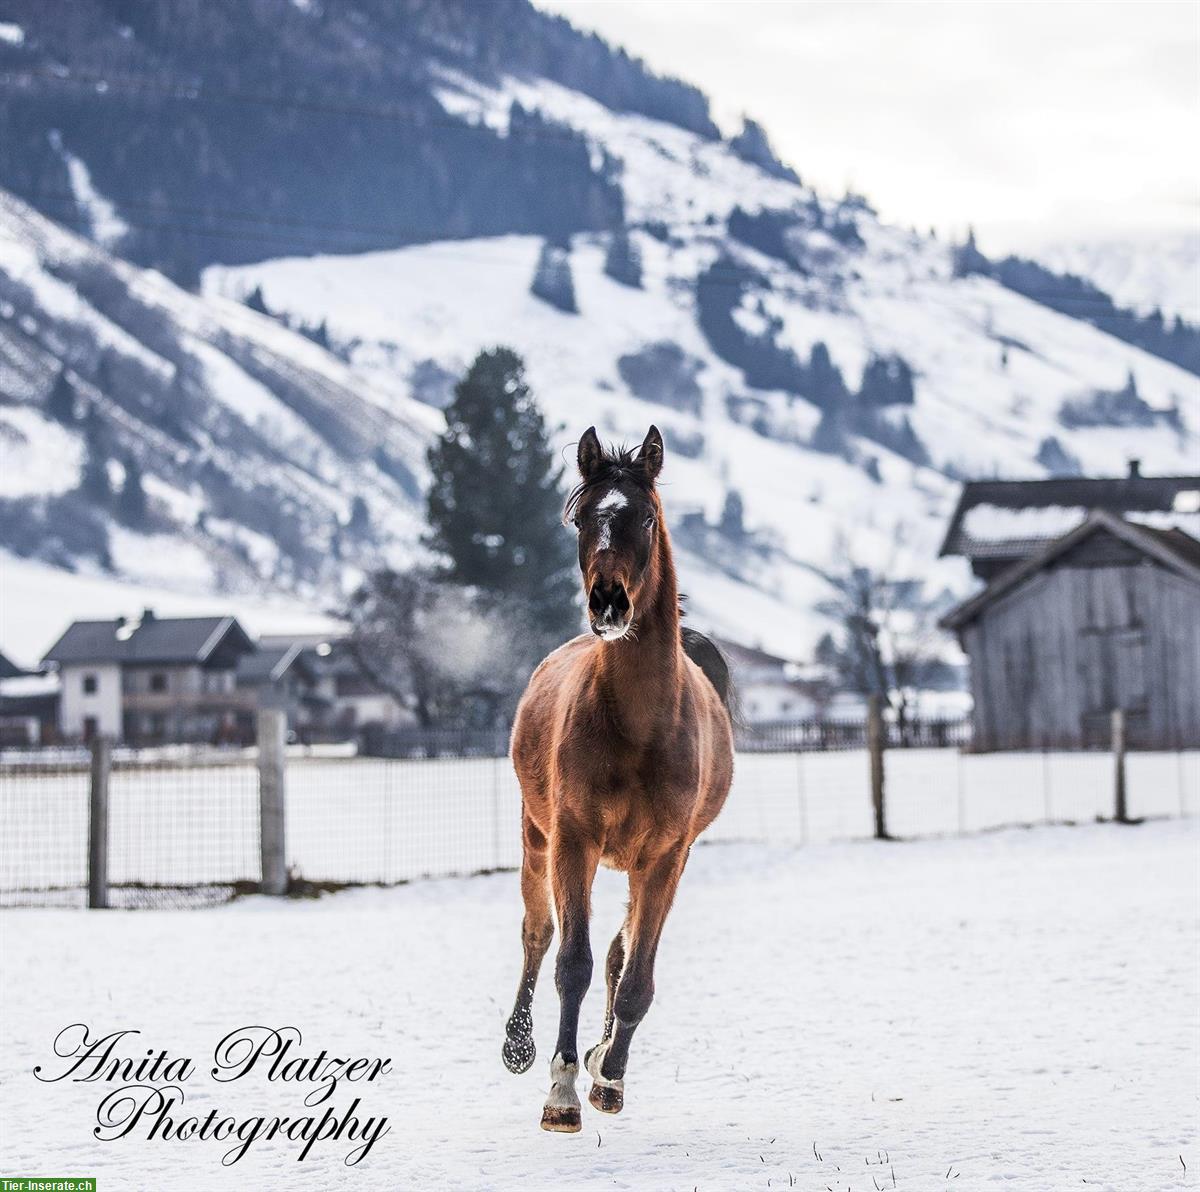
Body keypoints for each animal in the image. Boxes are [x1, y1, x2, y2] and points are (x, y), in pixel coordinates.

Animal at [496, 424, 729, 1123]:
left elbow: (636, 979)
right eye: (581, 518)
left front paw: (608, 1077)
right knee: (537, 933)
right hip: (536, 838)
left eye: (646, 517)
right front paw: (561, 1090)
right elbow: (571, 961)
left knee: (621, 956)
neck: (641, 726)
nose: (608, 603)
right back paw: (518, 1045)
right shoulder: (573, 840)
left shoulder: (666, 857)